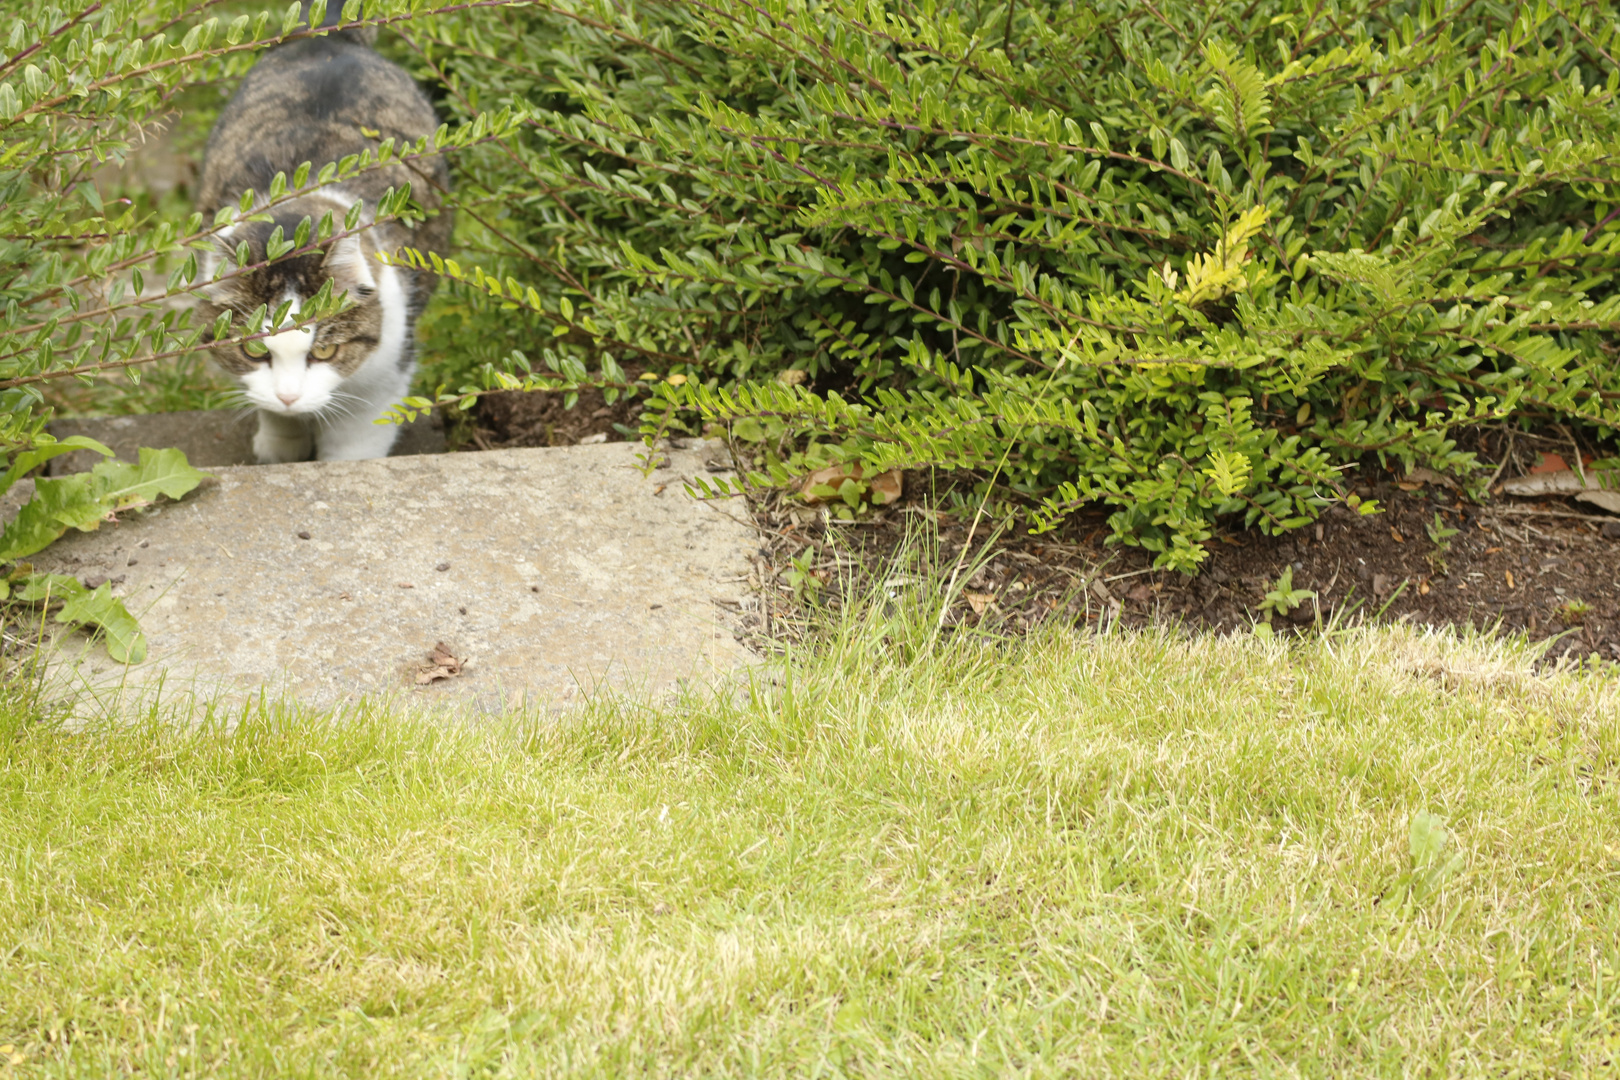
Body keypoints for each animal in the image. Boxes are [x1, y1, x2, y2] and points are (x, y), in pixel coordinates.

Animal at [194, 0, 450, 466]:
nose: (289, 397)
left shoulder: (387, 371)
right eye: (254, 351)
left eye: (324, 352)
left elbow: (354, 443)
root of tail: (331, 36)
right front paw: (280, 441)